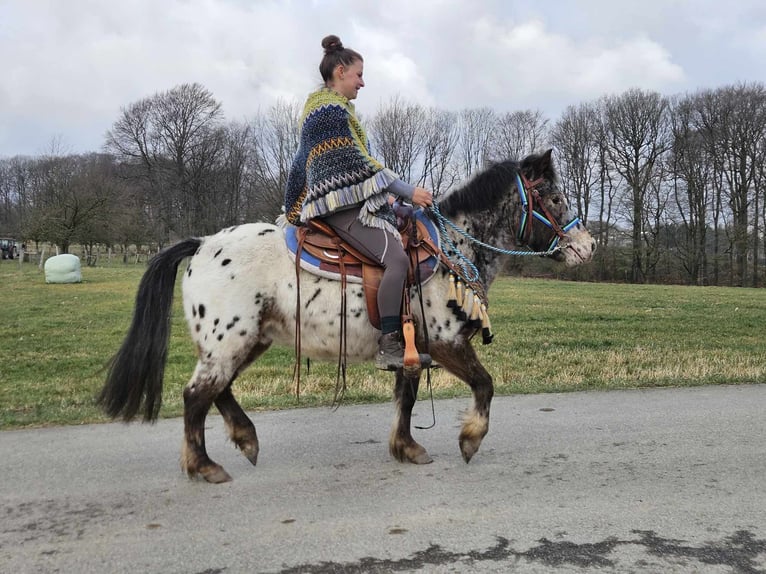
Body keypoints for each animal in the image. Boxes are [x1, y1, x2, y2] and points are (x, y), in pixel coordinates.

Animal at [99, 151, 596, 484]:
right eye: (554, 197)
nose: (588, 246)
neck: (454, 249)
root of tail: (202, 244)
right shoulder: (447, 343)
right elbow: (485, 384)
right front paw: (470, 439)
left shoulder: (413, 349)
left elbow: (406, 399)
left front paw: (407, 447)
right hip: (229, 342)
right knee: (196, 395)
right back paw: (204, 466)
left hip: (248, 340)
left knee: (217, 390)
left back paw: (245, 439)